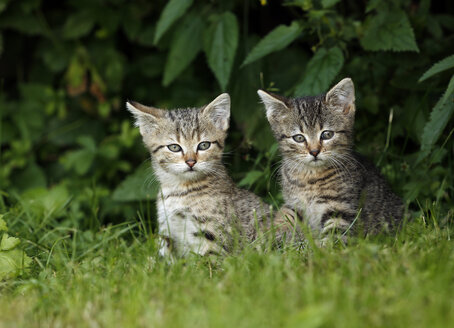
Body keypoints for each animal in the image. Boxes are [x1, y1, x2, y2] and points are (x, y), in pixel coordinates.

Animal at [127, 93, 270, 258]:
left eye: (204, 145)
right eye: (174, 147)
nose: (191, 162)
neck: (179, 190)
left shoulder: (214, 237)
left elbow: (207, 262)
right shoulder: (168, 231)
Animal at [258, 79, 402, 238]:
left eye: (327, 134)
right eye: (299, 138)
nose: (314, 152)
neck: (309, 177)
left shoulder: (340, 208)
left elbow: (333, 237)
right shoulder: (293, 204)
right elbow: (284, 217)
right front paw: (267, 236)